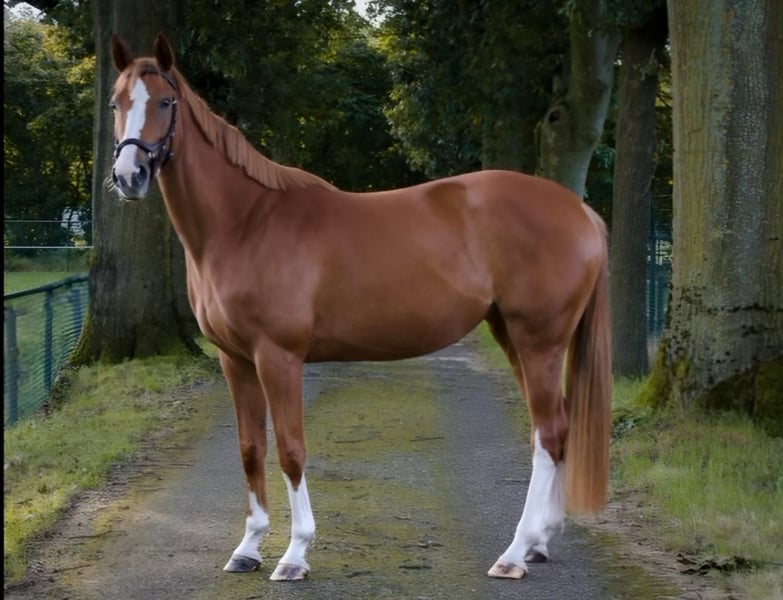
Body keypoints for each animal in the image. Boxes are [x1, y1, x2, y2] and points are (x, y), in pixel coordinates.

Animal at [108, 33, 611, 583]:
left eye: (165, 102)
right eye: (116, 103)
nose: (129, 176)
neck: (245, 223)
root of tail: (578, 210)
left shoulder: (278, 357)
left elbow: (291, 450)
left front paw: (294, 554)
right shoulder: (234, 360)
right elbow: (250, 449)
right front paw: (248, 547)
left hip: (539, 340)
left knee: (549, 434)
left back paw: (514, 553)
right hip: (512, 336)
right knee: (553, 432)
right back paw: (539, 543)